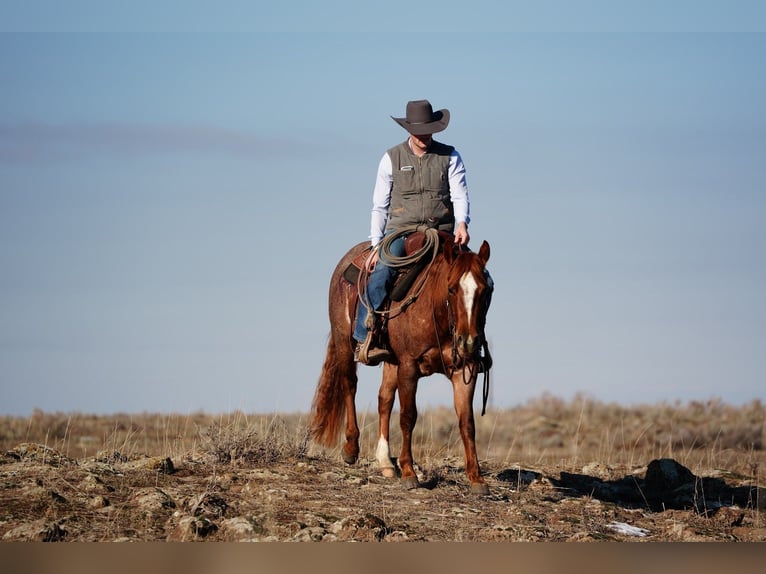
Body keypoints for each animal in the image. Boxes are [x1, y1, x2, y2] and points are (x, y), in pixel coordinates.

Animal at [310, 235, 493, 494]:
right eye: (452, 288)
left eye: (486, 290)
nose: (468, 341)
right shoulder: (409, 366)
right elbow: (408, 417)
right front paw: (409, 472)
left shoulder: (465, 370)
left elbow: (467, 422)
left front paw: (476, 479)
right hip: (345, 343)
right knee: (349, 386)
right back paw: (351, 448)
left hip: (390, 361)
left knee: (384, 399)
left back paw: (386, 462)